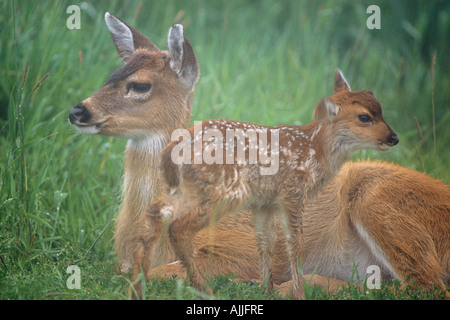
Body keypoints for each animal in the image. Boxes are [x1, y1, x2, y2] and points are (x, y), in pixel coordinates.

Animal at [132, 69, 400, 298]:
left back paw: (138, 288)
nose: (393, 137)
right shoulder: (293, 191)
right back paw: (204, 289)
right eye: (365, 117)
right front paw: (298, 293)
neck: (315, 151)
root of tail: (171, 150)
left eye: (382, 111)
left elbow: (267, 242)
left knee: (154, 215)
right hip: (222, 191)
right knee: (178, 227)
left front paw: (266, 289)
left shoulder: (264, 203)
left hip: (186, 189)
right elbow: (294, 243)